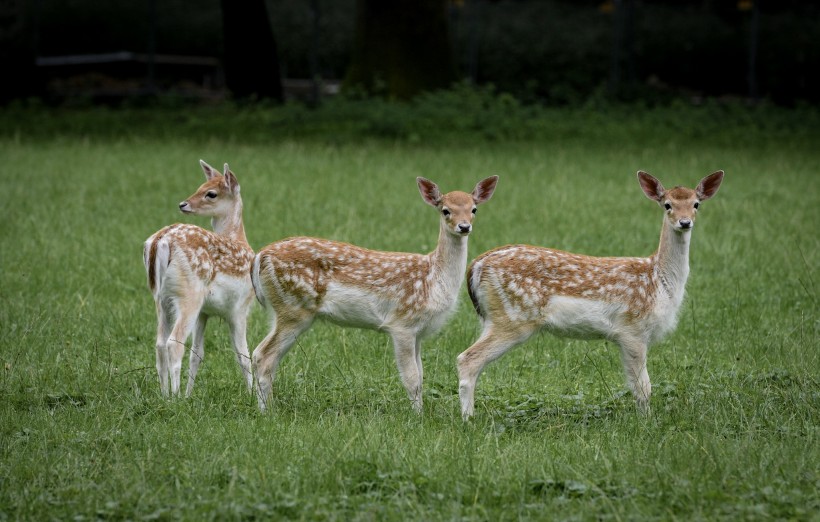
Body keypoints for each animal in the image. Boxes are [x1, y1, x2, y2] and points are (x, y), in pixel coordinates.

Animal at [143, 158, 255, 394]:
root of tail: (160, 241)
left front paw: (189, 394)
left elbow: (198, 353)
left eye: (210, 193)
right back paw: (174, 396)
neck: (239, 239)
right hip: (189, 294)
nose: (183, 204)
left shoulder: (205, 312)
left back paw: (164, 394)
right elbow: (244, 355)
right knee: (174, 343)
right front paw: (253, 395)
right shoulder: (240, 308)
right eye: (200, 187)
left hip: (161, 298)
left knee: (160, 343)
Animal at [251, 175, 500, 410]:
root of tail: (260, 256)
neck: (432, 279)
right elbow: (412, 379)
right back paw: (267, 412)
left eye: (474, 209)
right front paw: (417, 417)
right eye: (445, 210)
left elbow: (421, 376)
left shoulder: (418, 331)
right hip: (293, 308)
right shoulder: (401, 324)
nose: (464, 226)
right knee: (263, 355)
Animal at [454, 171, 724, 418]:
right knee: (467, 359)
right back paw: (468, 419)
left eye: (696, 204)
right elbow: (643, 388)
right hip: (513, 317)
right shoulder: (632, 330)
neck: (659, 281)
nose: (685, 222)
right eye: (667, 204)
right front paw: (647, 423)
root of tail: (475, 266)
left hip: (496, 318)